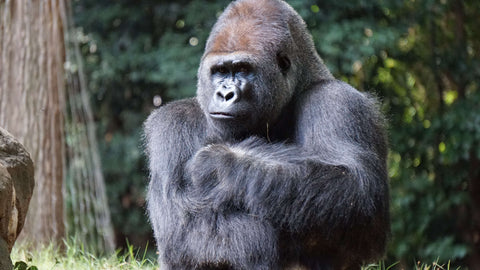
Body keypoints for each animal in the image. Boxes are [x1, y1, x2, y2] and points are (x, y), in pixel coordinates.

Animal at [143, 0, 390, 268]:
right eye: (220, 71)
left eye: (243, 69)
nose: (225, 94)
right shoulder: (173, 123)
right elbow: (184, 225)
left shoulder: (337, 101)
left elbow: (356, 189)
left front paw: (221, 161)